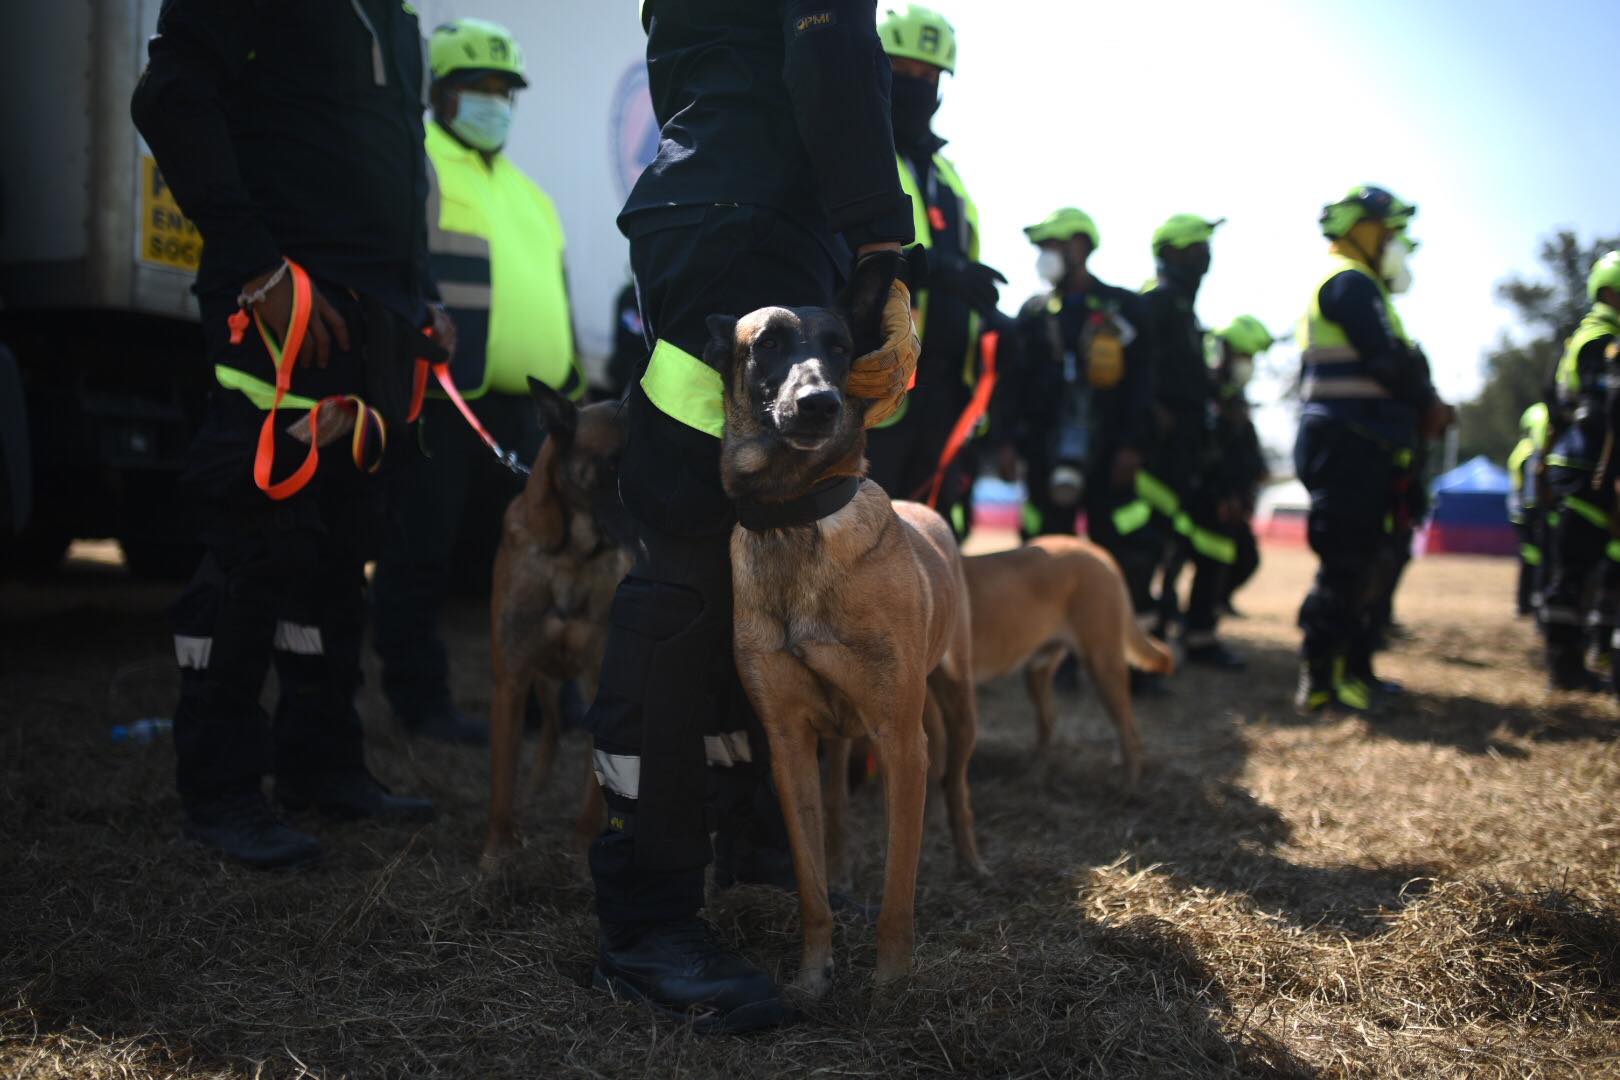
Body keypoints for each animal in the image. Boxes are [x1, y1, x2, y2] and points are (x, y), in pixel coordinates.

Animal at [712, 254, 984, 997]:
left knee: (956, 785)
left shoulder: (900, 739)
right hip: (844, 739)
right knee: (837, 815)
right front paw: (812, 975)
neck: (795, 514)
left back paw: (971, 860)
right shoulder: (789, 746)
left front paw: (890, 981)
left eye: (839, 347)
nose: (818, 404)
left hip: (956, 704)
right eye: (768, 343)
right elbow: (809, 886)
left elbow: (898, 887)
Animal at [959, 537, 1179, 786]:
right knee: (1048, 722)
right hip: (1039, 669)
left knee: (1127, 728)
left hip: (1102, 664)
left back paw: (1129, 785)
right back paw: (1035, 773)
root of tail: (1093, 549)